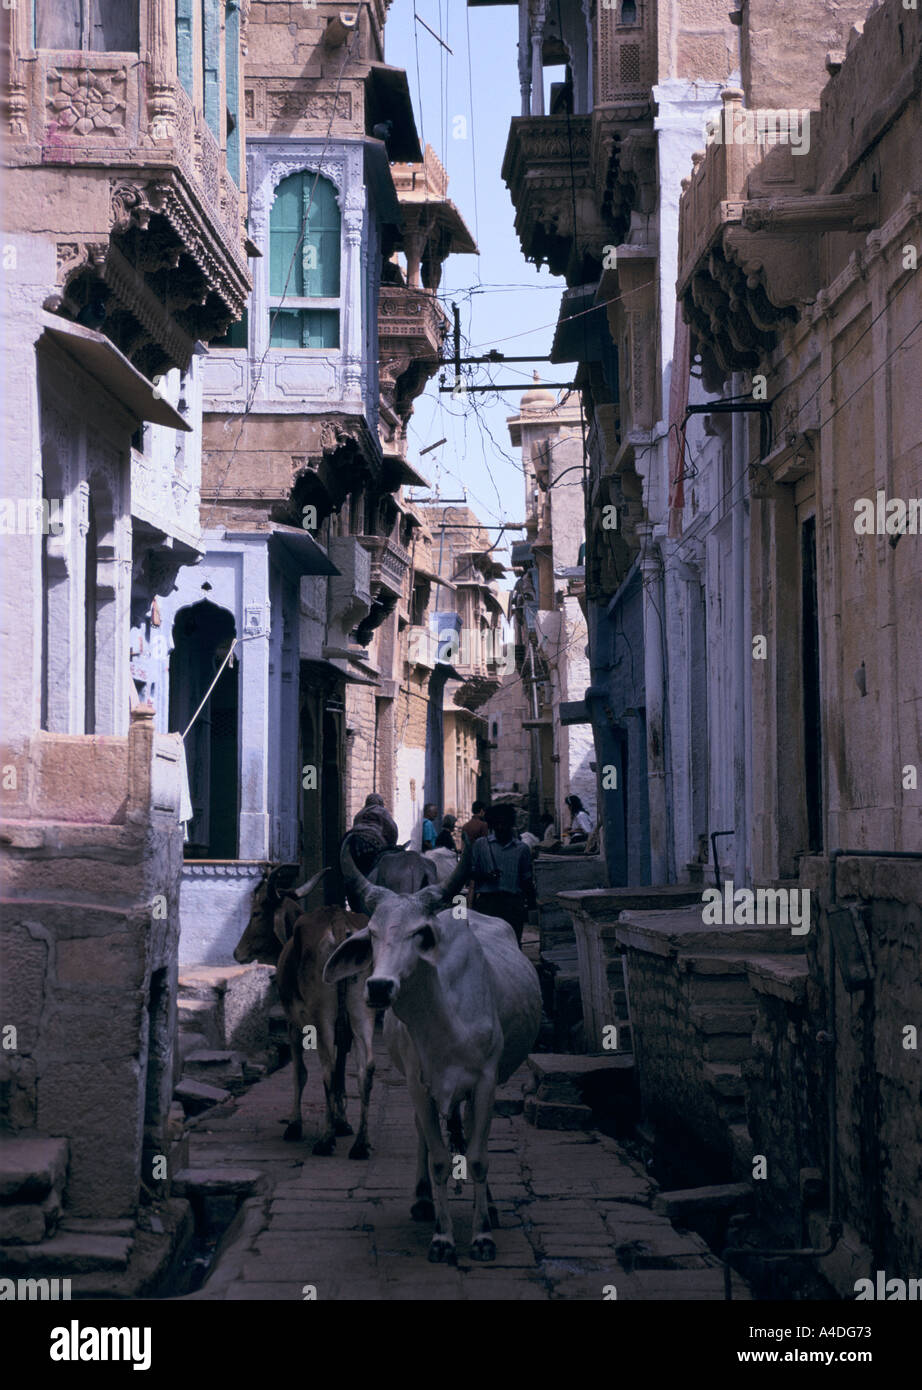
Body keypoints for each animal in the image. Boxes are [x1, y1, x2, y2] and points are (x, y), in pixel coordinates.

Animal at [326, 839, 536, 1267]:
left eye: (420, 933)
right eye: (372, 934)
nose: (379, 987)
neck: (442, 1018)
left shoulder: (486, 1082)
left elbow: (478, 1155)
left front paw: (482, 1236)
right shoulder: (419, 1085)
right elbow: (438, 1156)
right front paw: (442, 1237)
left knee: (471, 1133)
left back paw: (489, 1206)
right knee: (427, 1134)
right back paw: (423, 1200)